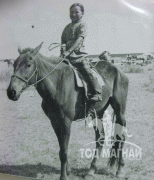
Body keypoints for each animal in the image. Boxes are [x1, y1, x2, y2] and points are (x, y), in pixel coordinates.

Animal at [6, 42, 128, 180]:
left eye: (28, 64)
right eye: (14, 64)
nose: (11, 91)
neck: (57, 83)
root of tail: (118, 70)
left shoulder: (66, 122)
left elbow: (64, 150)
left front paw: (63, 176)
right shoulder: (55, 121)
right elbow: (61, 148)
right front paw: (67, 170)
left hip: (120, 110)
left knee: (121, 136)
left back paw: (120, 170)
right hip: (98, 113)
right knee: (100, 138)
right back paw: (91, 170)